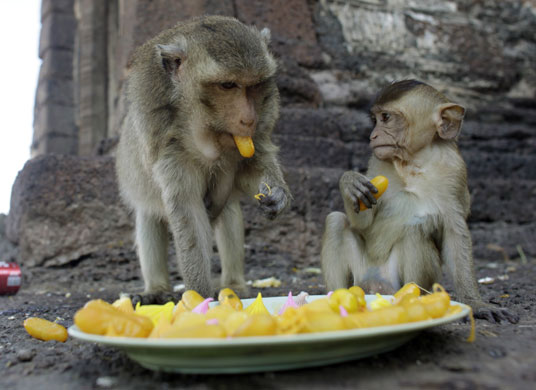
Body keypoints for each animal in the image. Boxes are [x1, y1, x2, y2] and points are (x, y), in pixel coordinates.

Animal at [116, 16, 292, 302]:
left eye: (254, 86)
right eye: (228, 85)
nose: (248, 120)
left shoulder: (255, 133)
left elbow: (252, 163)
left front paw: (277, 193)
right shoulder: (168, 148)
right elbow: (188, 212)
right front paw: (199, 298)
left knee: (230, 214)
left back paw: (234, 285)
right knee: (149, 218)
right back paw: (157, 290)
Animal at [322, 80, 520, 322]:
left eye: (386, 117)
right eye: (375, 120)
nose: (373, 136)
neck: (413, 161)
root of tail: (376, 286)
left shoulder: (454, 172)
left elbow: (454, 232)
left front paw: (476, 304)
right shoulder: (376, 162)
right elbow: (363, 224)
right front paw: (349, 182)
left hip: (397, 282)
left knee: (415, 231)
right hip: (360, 276)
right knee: (335, 221)